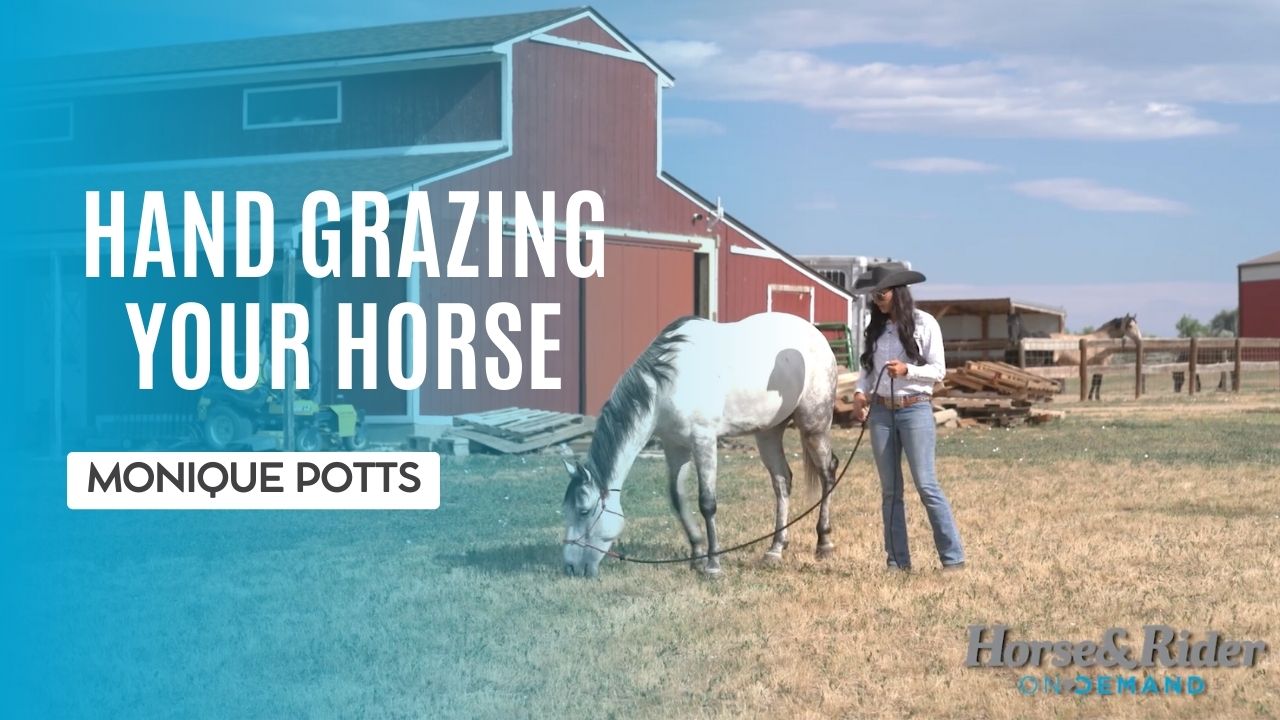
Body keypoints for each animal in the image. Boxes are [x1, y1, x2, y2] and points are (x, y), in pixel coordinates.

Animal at [561, 312, 839, 578]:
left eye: (584, 511)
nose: (571, 568)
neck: (668, 383)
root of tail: (818, 336)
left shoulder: (703, 440)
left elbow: (707, 503)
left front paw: (713, 564)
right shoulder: (675, 447)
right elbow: (677, 498)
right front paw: (696, 556)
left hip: (814, 427)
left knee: (828, 473)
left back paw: (824, 542)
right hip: (768, 434)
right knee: (782, 481)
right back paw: (775, 549)